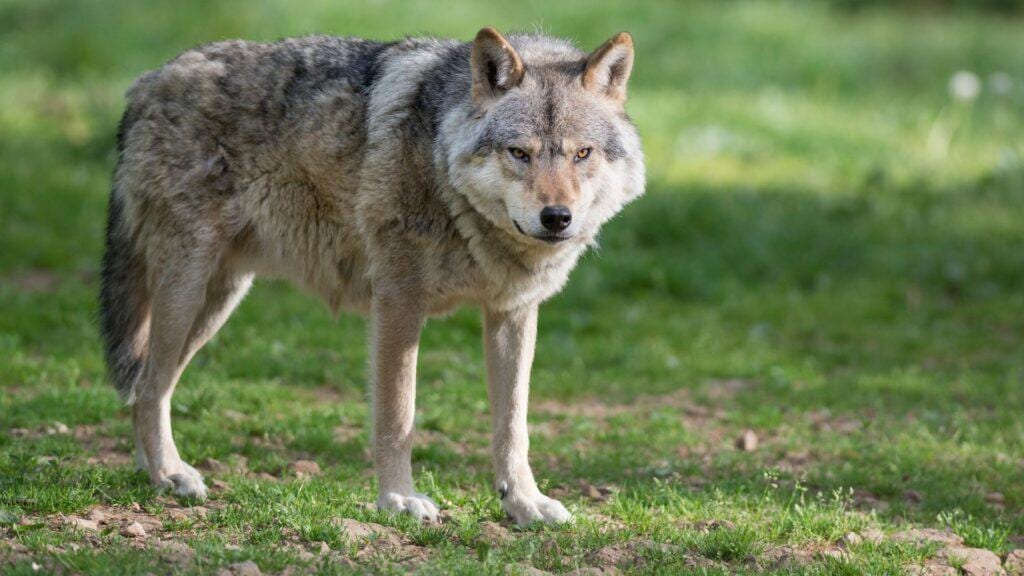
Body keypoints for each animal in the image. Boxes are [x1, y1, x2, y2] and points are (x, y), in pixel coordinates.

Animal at [99, 27, 645, 526]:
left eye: (582, 154)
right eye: (519, 153)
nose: (557, 218)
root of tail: (148, 82)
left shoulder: (512, 312)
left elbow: (513, 425)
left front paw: (525, 503)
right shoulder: (398, 301)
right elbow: (397, 415)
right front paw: (399, 499)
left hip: (218, 300)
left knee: (147, 386)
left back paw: (154, 473)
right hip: (188, 291)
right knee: (148, 387)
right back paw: (169, 474)